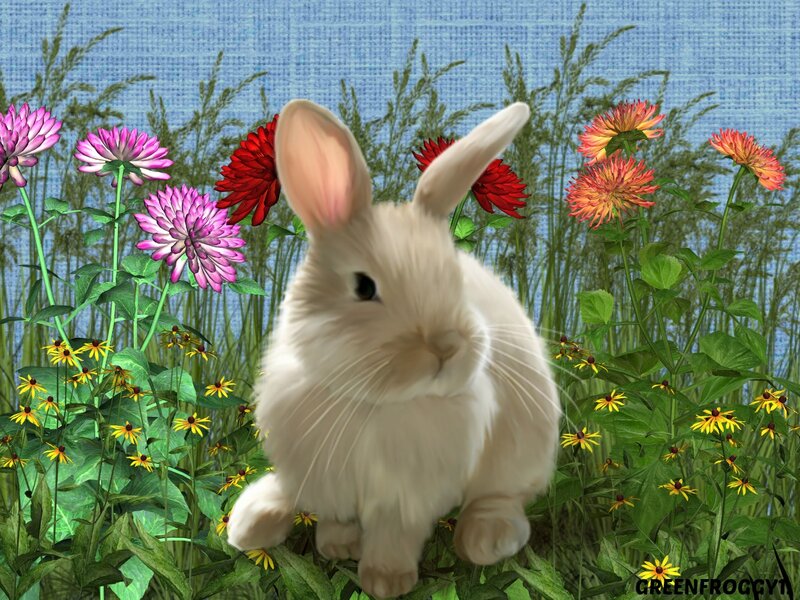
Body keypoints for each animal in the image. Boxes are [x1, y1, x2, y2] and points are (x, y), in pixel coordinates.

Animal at [227, 99, 562, 599]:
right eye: (364, 287)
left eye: (453, 276)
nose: (447, 346)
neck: (372, 403)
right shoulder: (326, 475)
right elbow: (333, 515)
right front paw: (337, 546)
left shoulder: (406, 497)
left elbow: (394, 534)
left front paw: (385, 580)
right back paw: (250, 522)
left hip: (520, 453)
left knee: (501, 497)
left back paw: (488, 538)